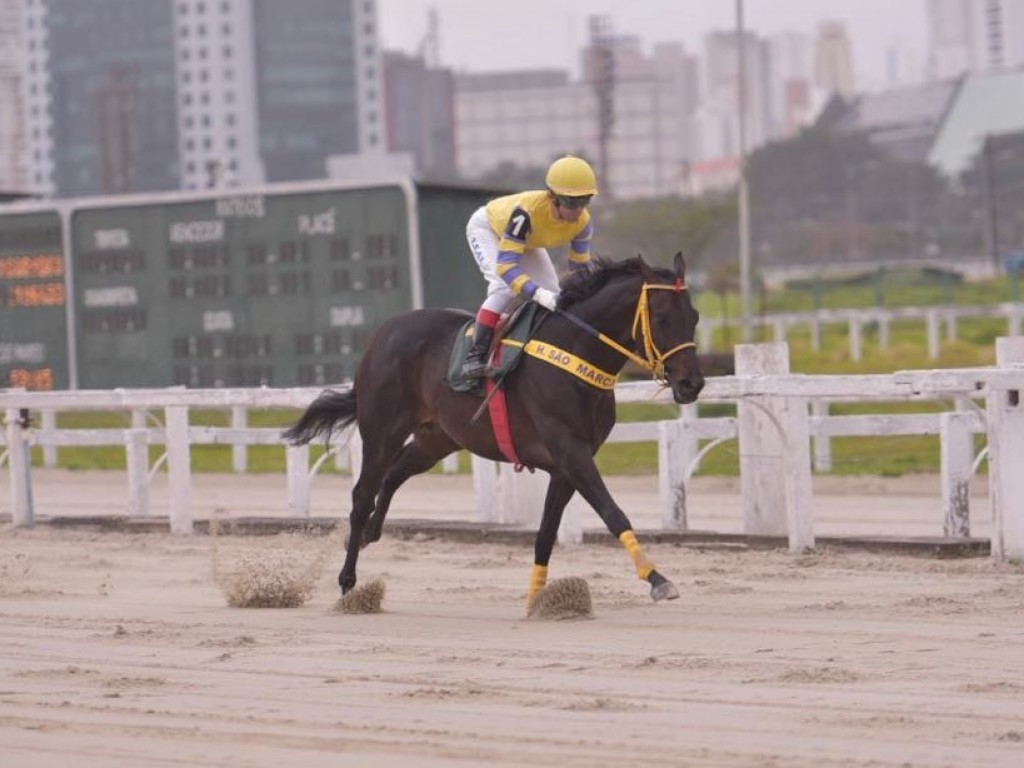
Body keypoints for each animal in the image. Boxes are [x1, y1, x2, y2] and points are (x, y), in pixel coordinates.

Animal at [284, 256, 708, 610]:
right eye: (663, 318)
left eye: (695, 316)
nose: (692, 384)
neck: (574, 353)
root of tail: (382, 332)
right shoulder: (570, 451)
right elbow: (612, 512)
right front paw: (657, 578)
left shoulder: (566, 465)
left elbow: (546, 533)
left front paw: (538, 598)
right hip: (381, 430)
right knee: (361, 496)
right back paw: (348, 581)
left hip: (436, 438)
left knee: (393, 476)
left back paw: (370, 532)